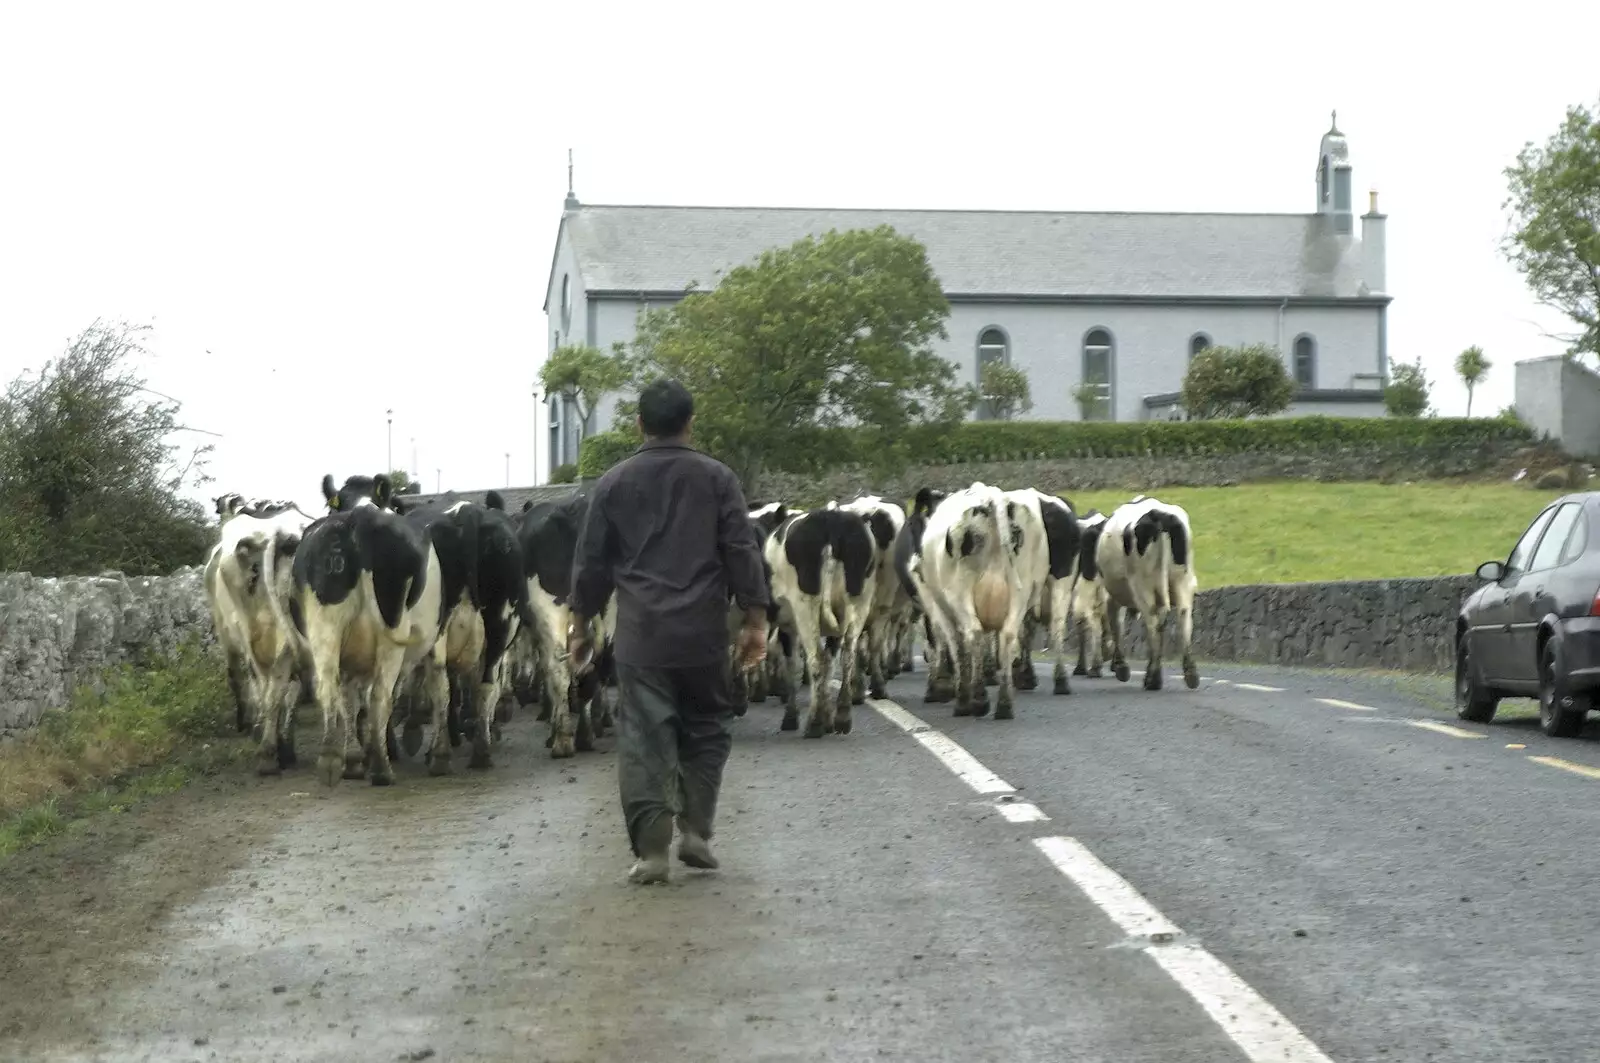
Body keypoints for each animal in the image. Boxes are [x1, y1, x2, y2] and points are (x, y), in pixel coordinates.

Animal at [761, 502, 876, 736]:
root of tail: (831, 519)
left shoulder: (787, 625)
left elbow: (793, 665)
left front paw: (792, 717)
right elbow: (830, 664)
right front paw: (828, 718)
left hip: (805, 605)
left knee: (815, 659)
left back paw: (813, 724)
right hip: (859, 601)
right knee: (847, 656)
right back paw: (842, 717)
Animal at [1100, 496, 1203, 694]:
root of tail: (1157, 514)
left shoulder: (1112, 595)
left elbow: (1116, 624)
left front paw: (1120, 666)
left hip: (1142, 585)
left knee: (1153, 622)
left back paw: (1153, 678)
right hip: (1183, 580)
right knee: (1183, 618)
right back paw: (1190, 674)